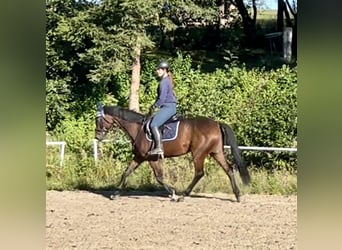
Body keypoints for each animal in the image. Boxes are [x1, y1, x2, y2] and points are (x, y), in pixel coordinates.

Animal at [95, 104, 250, 202]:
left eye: (99, 120)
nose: (97, 137)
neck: (138, 129)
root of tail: (216, 123)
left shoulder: (151, 158)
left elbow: (159, 177)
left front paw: (173, 194)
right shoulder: (139, 157)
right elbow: (126, 172)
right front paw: (115, 194)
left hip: (198, 154)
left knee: (199, 173)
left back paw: (183, 196)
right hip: (216, 152)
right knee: (228, 169)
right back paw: (238, 195)